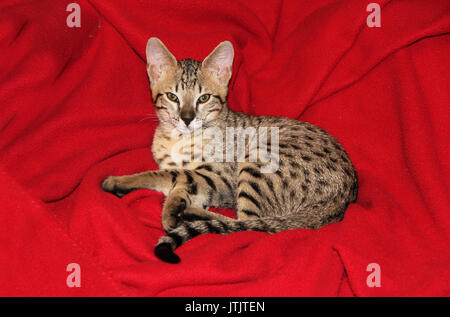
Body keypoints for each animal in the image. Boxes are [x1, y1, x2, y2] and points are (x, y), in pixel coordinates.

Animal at [103, 37, 358, 262]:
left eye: (204, 98)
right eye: (172, 96)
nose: (187, 118)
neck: (179, 139)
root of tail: (342, 198)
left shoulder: (221, 177)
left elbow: (168, 175)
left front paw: (123, 183)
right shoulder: (208, 182)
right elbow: (178, 182)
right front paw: (173, 205)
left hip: (258, 161)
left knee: (250, 225)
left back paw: (189, 214)